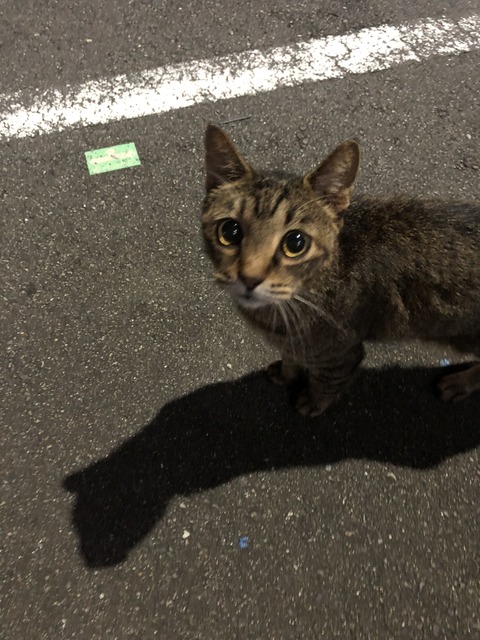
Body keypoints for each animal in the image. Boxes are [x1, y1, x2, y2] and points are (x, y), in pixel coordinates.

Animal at [201, 124, 480, 416]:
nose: (249, 277)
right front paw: (287, 372)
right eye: (229, 231)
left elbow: (326, 382)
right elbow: (291, 356)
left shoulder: (341, 354)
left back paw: (461, 382)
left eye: (295, 243)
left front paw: (313, 402)